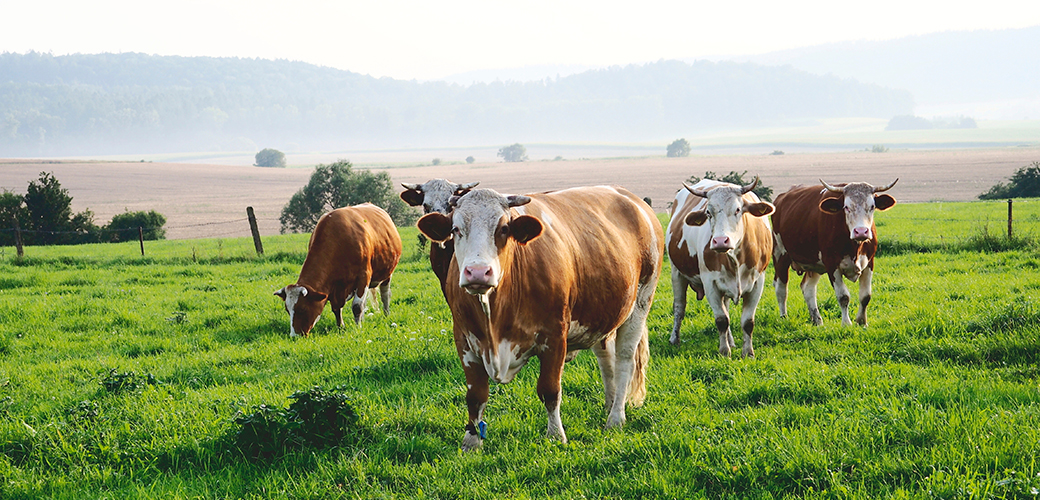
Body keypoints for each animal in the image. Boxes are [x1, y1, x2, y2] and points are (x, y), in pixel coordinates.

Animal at [274, 201, 403, 334]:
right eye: (287, 310)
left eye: (303, 309)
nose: (295, 335)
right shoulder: (334, 286)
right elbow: (336, 308)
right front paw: (341, 326)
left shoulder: (364, 276)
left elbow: (357, 306)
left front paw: (357, 327)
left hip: (387, 274)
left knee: (385, 294)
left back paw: (386, 314)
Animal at [416, 185, 665, 451]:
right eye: (456, 229)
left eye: (503, 228)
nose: (478, 272)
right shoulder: (464, 339)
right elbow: (475, 396)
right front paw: (471, 441)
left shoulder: (555, 336)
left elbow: (549, 389)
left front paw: (556, 435)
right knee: (606, 357)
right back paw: (609, 404)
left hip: (641, 301)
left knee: (625, 359)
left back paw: (616, 417)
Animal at [665, 177, 773, 357]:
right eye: (708, 212)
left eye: (738, 209)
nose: (721, 241)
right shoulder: (710, 283)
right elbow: (722, 320)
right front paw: (724, 352)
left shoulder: (758, 282)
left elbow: (747, 322)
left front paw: (748, 353)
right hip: (676, 272)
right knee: (679, 307)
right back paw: (674, 339)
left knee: (726, 307)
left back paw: (731, 341)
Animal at [769, 177, 898, 326]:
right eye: (846, 207)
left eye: (872, 206)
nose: (861, 231)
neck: (854, 248)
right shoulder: (832, 264)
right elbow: (843, 296)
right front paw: (846, 324)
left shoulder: (869, 263)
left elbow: (865, 296)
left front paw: (862, 322)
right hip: (780, 254)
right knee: (781, 288)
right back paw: (784, 317)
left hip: (814, 263)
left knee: (807, 288)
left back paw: (817, 321)